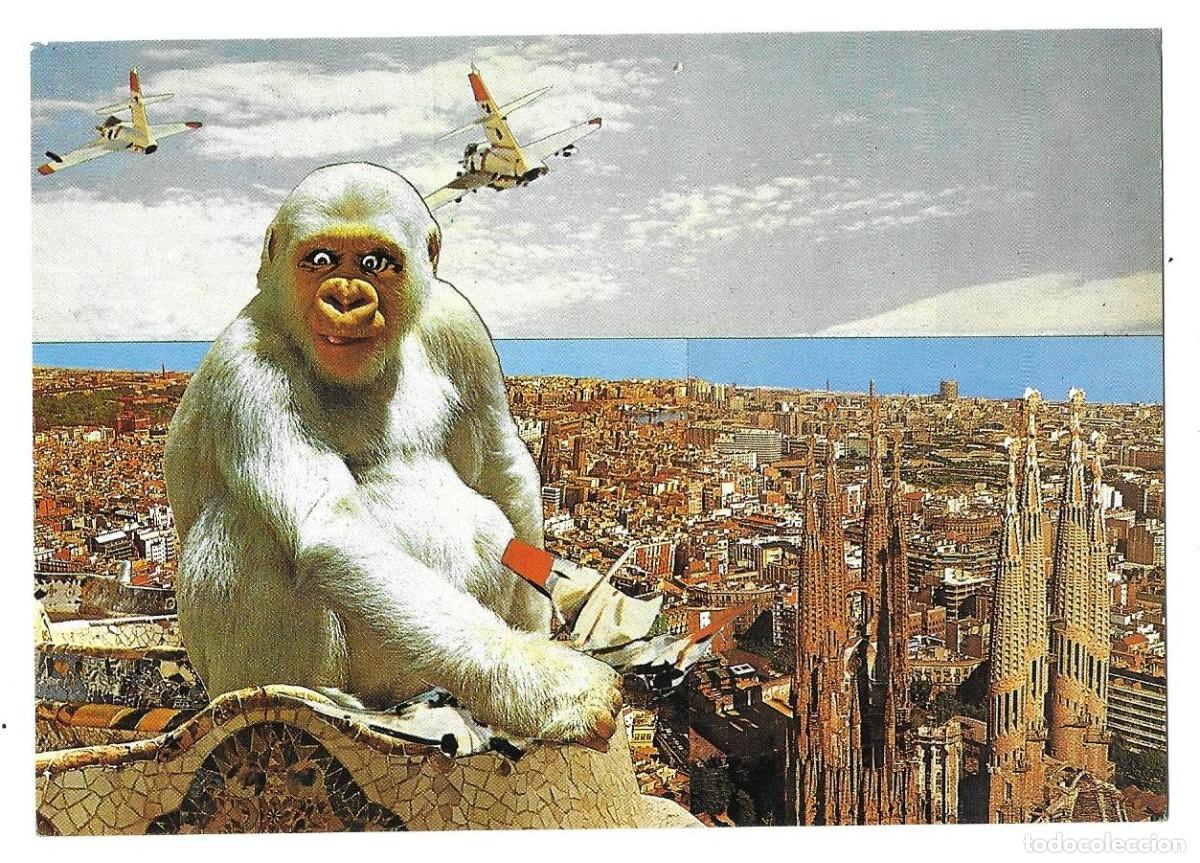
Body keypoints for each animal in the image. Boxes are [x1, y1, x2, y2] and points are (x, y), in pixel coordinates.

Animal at [164, 163, 621, 748]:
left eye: (374, 263)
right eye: (320, 260)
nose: (345, 299)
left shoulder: (459, 323)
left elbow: (501, 467)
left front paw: (536, 633)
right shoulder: (249, 371)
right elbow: (330, 530)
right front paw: (552, 687)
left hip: (410, 673)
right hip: (242, 678)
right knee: (248, 530)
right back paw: (307, 696)